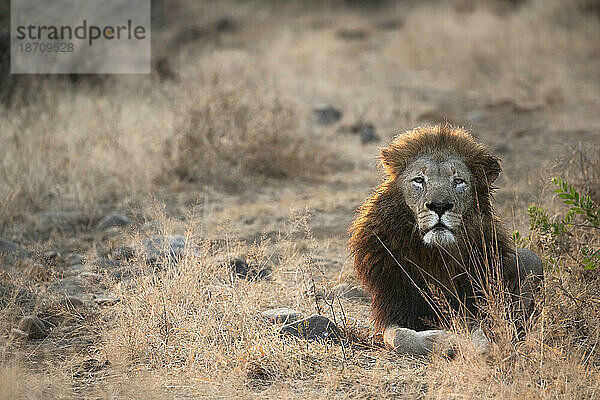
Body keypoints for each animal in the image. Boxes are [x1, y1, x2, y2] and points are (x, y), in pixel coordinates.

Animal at [352, 126, 544, 356]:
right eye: (419, 180)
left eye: (458, 181)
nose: (439, 205)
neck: (436, 254)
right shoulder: (395, 304)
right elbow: (399, 337)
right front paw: (445, 340)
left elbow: (482, 327)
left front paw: (480, 343)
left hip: (532, 260)